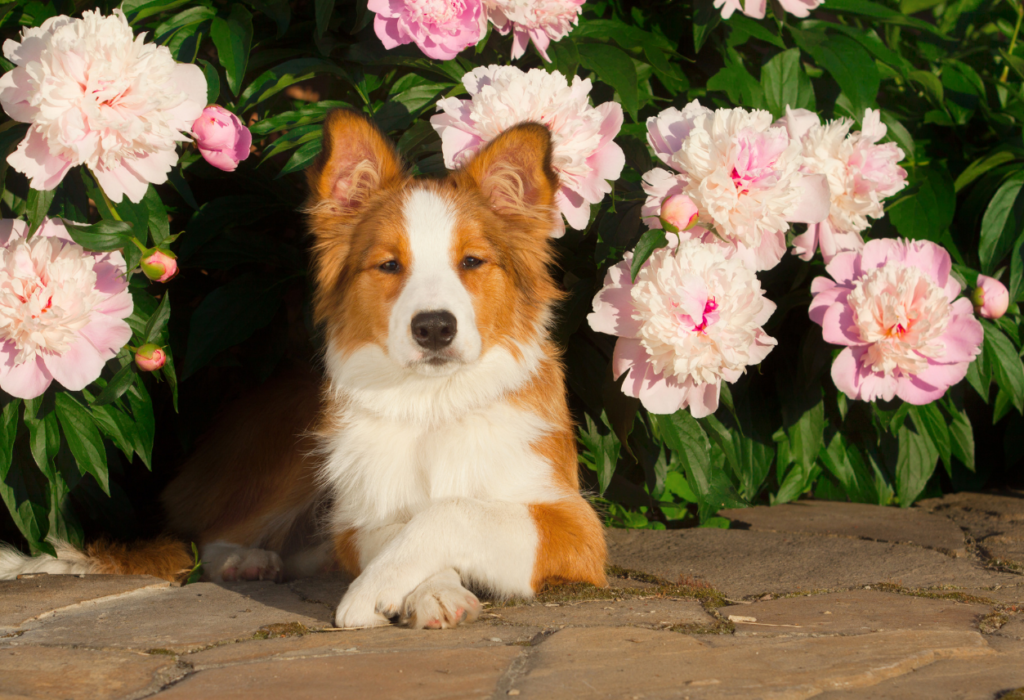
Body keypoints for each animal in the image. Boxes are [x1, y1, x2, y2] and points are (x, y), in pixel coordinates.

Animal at [0, 112, 606, 630]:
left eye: (473, 262)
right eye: (389, 265)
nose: (434, 328)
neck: (433, 402)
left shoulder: (576, 529)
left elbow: (452, 512)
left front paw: (381, 588)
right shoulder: (359, 519)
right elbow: (408, 527)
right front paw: (422, 588)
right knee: (210, 536)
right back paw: (246, 559)